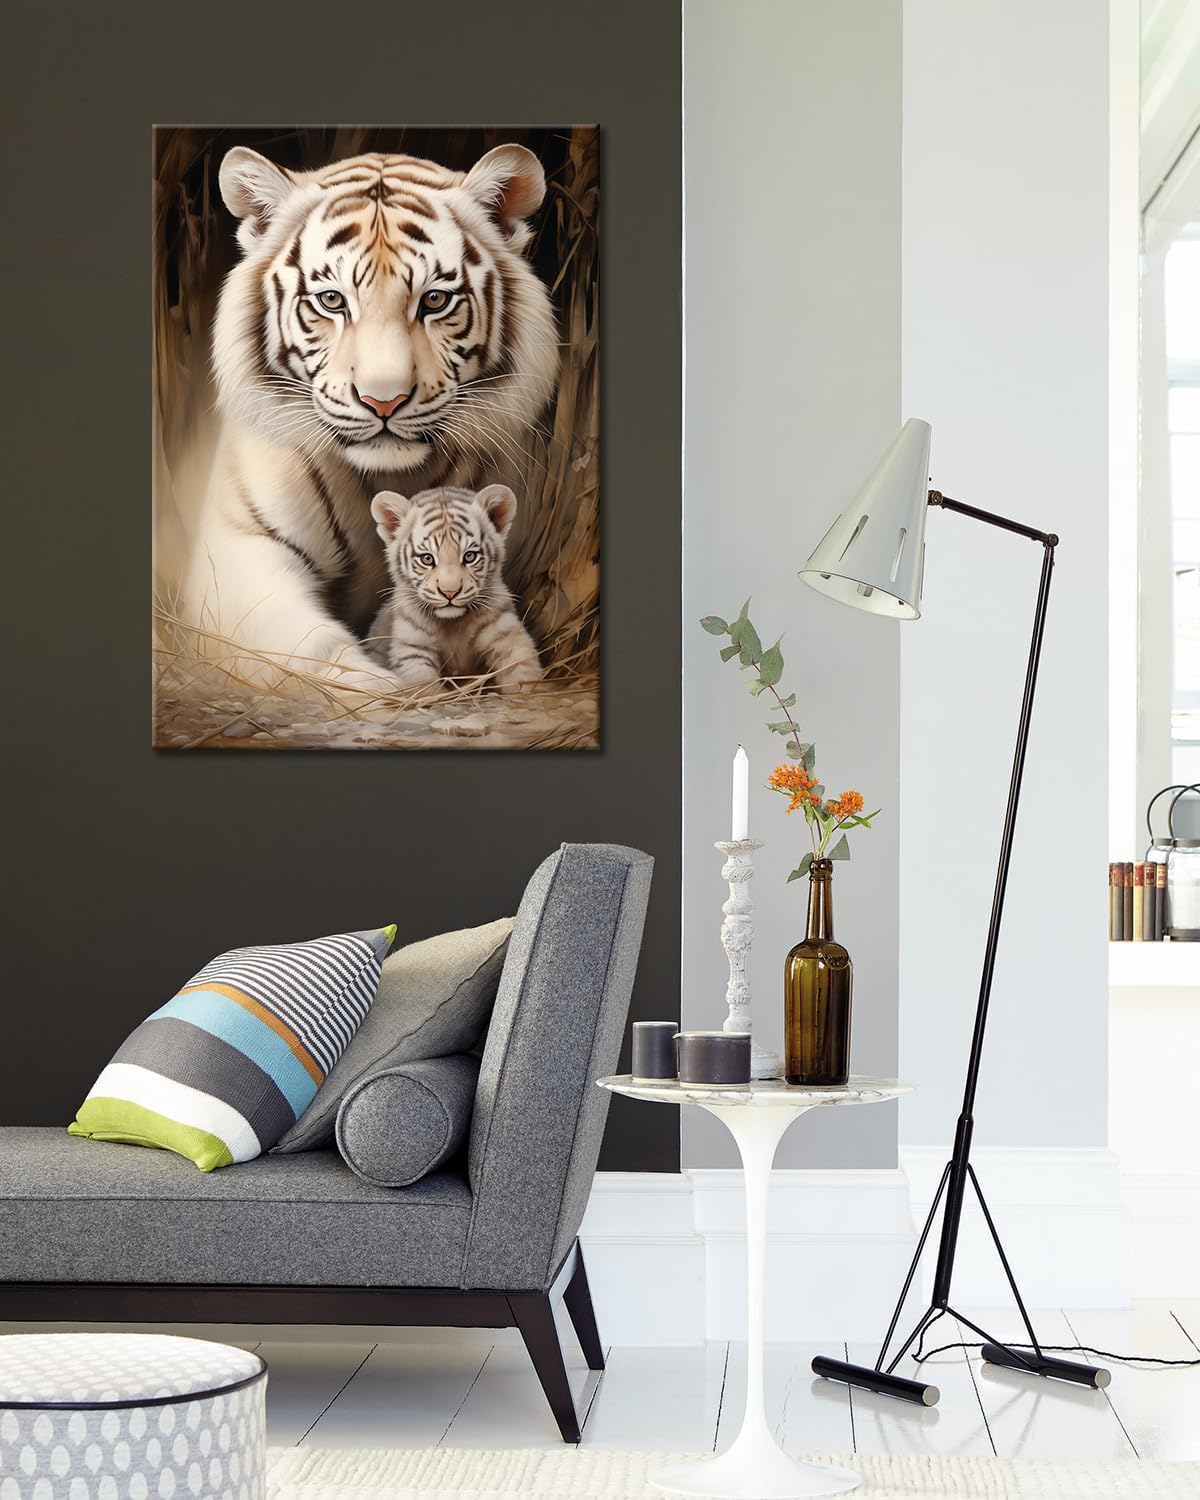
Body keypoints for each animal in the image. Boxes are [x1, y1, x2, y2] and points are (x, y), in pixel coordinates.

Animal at [366, 485, 543, 692]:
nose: (449, 592)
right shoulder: (413, 649)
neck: (452, 623)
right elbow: (425, 687)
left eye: (469, 556)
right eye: (427, 558)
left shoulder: (506, 635)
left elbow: (522, 673)